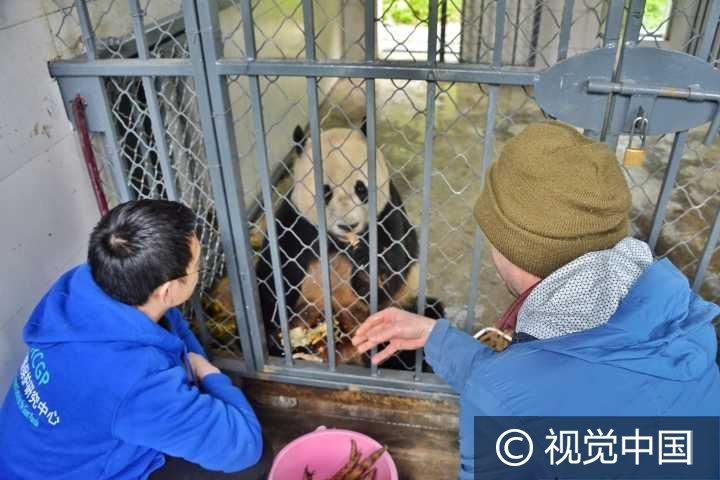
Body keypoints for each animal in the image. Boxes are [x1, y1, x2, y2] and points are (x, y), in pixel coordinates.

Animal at [256, 123, 442, 368]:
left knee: (423, 318)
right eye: (325, 192)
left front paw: (367, 274)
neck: (340, 243)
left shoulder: (388, 214)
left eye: (361, 189)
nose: (348, 225)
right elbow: (274, 274)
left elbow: (394, 265)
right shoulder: (295, 223)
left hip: (400, 307)